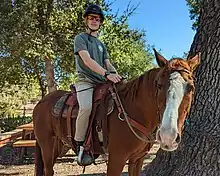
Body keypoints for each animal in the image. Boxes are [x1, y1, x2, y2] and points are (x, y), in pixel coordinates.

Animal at [33, 48, 200, 175]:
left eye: (191, 87)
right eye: (159, 85)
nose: (168, 137)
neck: (133, 111)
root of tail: (41, 102)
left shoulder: (137, 160)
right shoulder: (116, 159)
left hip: (59, 144)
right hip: (46, 143)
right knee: (48, 170)